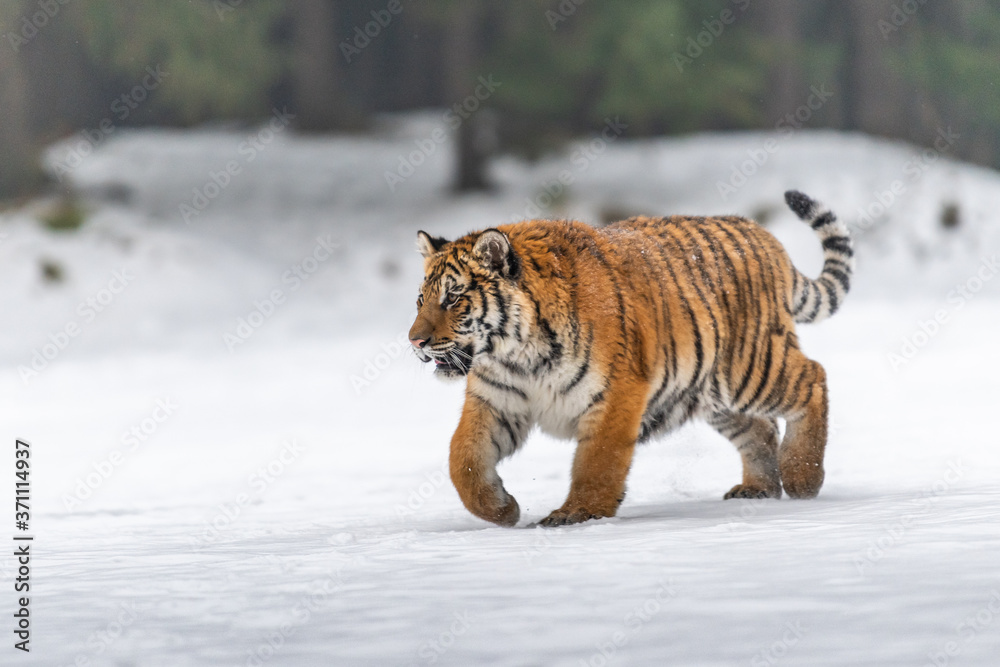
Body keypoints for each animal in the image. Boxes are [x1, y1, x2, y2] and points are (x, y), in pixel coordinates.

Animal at [408, 190, 852, 527]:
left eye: (453, 297)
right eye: (421, 299)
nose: (415, 342)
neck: (517, 354)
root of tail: (762, 235)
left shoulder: (616, 393)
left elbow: (597, 462)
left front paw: (577, 513)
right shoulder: (496, 401)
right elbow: (463, 459)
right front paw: (502, 509)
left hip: (749, 367)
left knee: (813, 377)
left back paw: (802, 476)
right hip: (713, 392)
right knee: (760, 430)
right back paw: (759, 488)